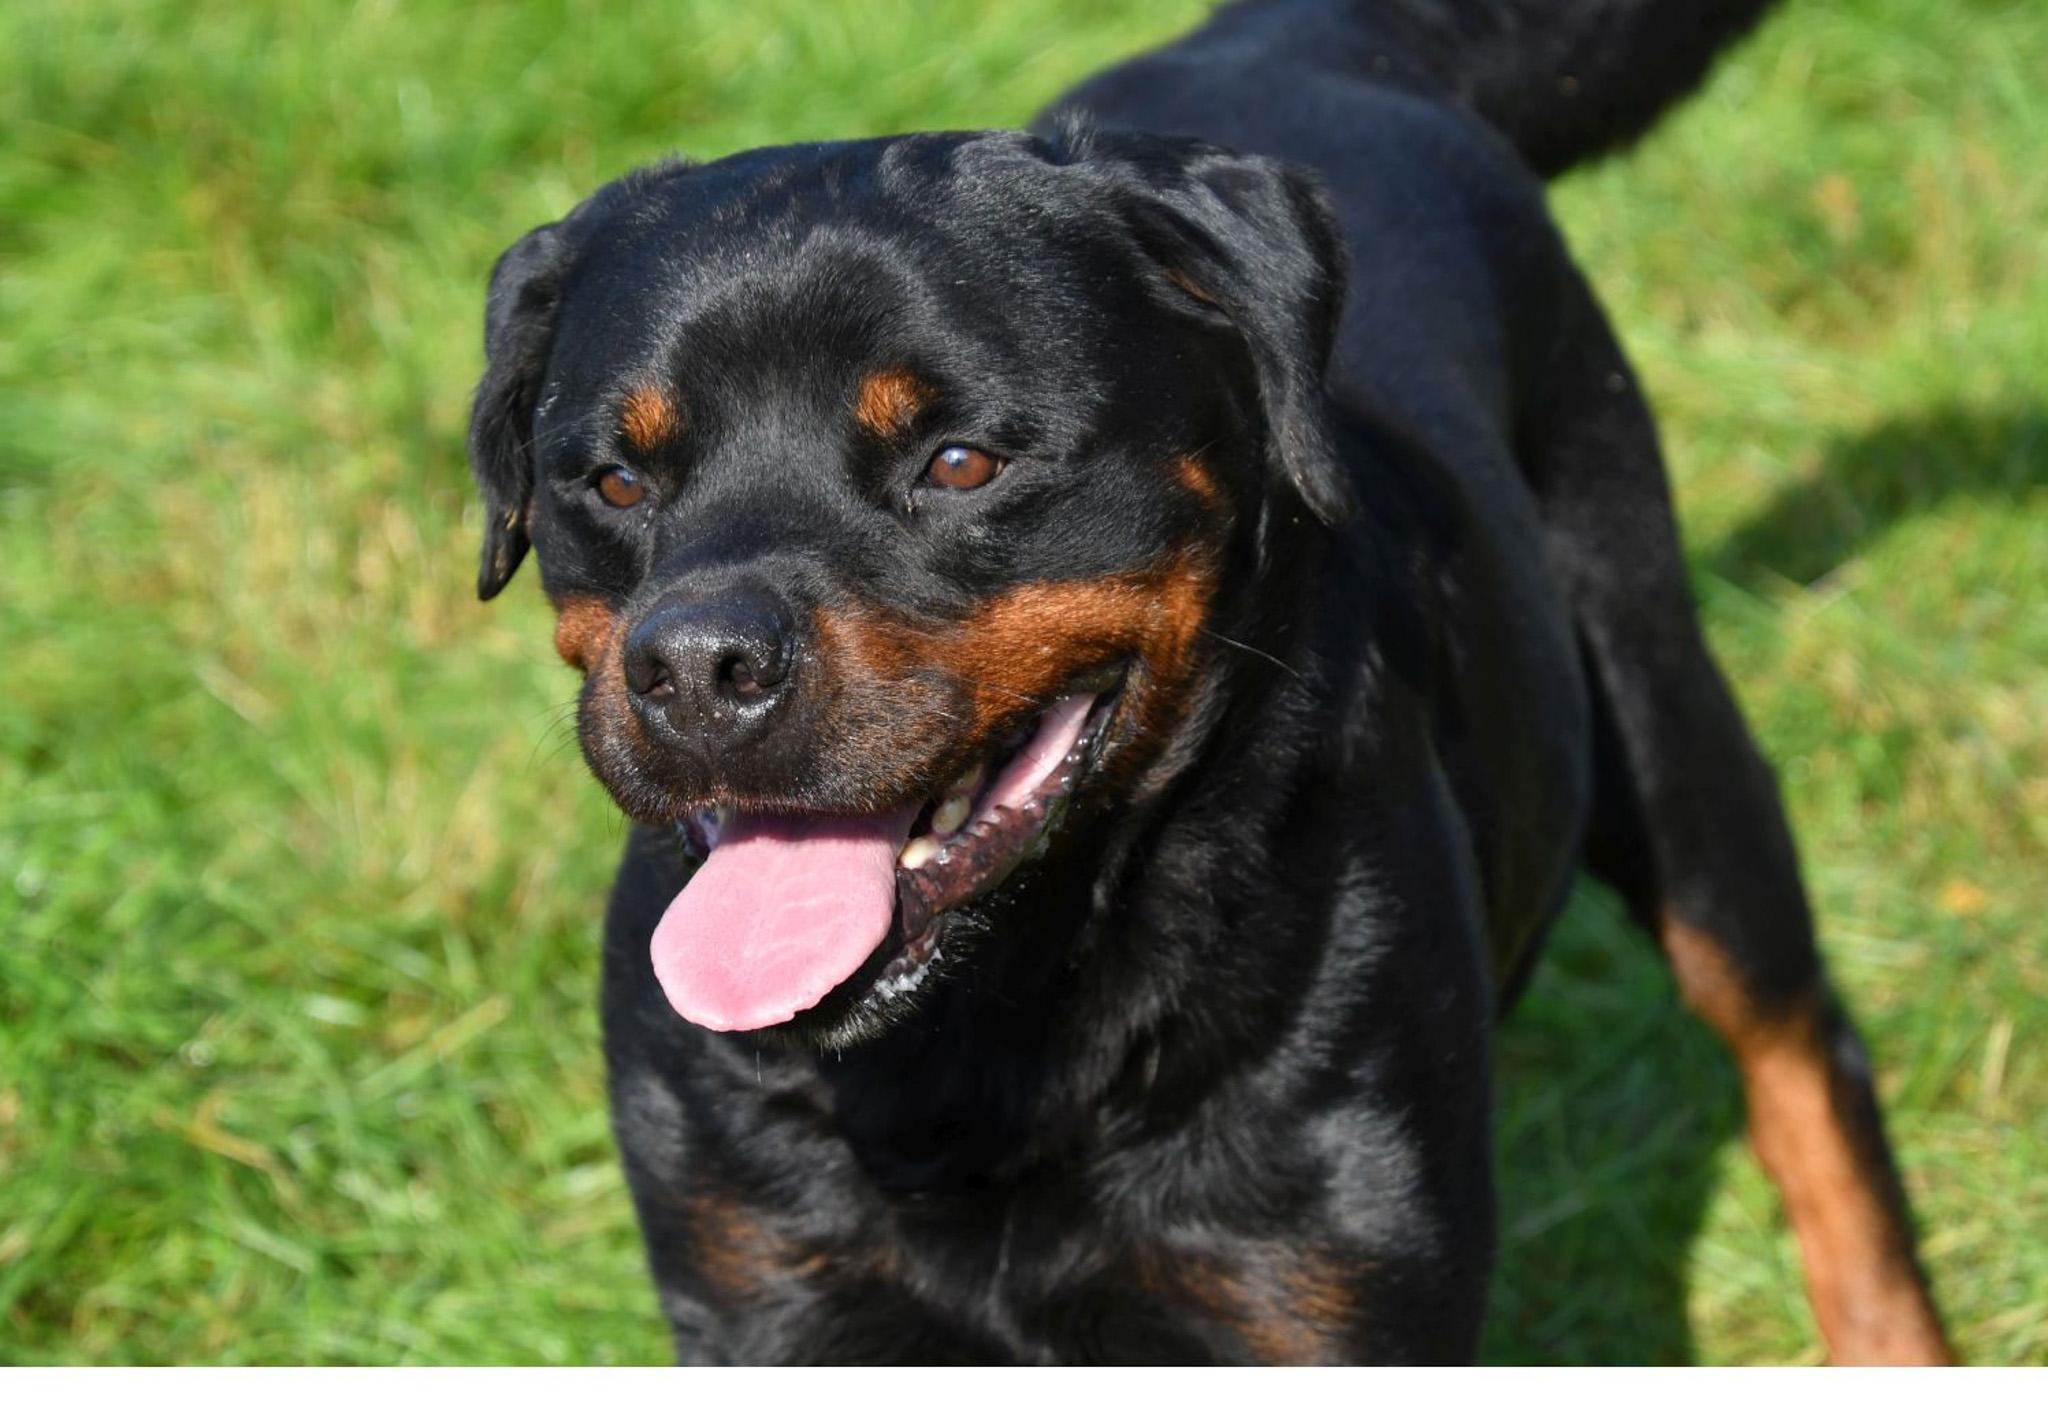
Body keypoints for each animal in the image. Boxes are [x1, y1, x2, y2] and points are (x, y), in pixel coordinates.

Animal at [464, 0, 1949, 1367]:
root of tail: (1309, 38)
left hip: (1659, 699)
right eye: (615, 481)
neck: (990, 1040)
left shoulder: (1318, 1296)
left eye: (958, 461)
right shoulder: (762, 1289)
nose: (695, 663)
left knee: (1795, 1042)